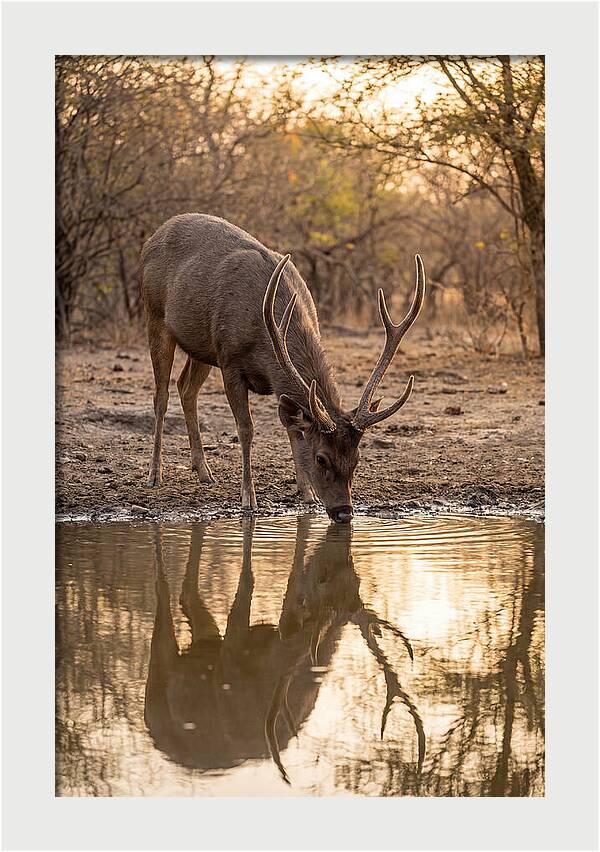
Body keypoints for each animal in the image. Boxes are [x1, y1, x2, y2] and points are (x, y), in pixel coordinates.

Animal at [140, 214, 426, 523]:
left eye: (357, 458)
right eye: (321, 457)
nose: (344, 512)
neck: (264, 336)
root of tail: (153, 237)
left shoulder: (266, 376)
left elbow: (293, 429)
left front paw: (307, 493)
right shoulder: (229, 360)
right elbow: (246, 428)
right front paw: (248, 499)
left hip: (201, 346)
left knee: (186, 388)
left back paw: (204, 471)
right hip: (155, 316)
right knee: (161, 396)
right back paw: (155, 475)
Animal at [144, 515, 425, 785]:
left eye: (357, 579)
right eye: (323, 577)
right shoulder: (229, 661)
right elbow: (250, 583)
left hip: (205, 643)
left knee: (188, 597)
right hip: (158, 687)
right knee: (163, 608)